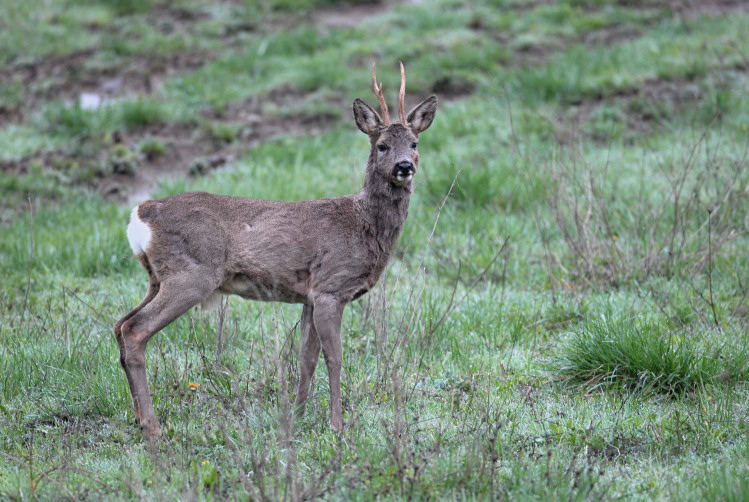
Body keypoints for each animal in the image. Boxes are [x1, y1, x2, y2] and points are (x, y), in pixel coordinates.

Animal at [113, 63, 436, 436]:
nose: (405, 166)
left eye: (414, 143)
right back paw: (152, 425)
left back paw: (139, 417)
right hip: (192, 274)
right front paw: (337, 424)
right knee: (135, 330)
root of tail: (140, 213)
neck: (363, 225)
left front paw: (296, 415)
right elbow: (335, 357)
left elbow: (306, 358)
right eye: (382, 145)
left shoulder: (310, 295)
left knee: (120, 324)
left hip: (156, 277)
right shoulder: (331, 286)